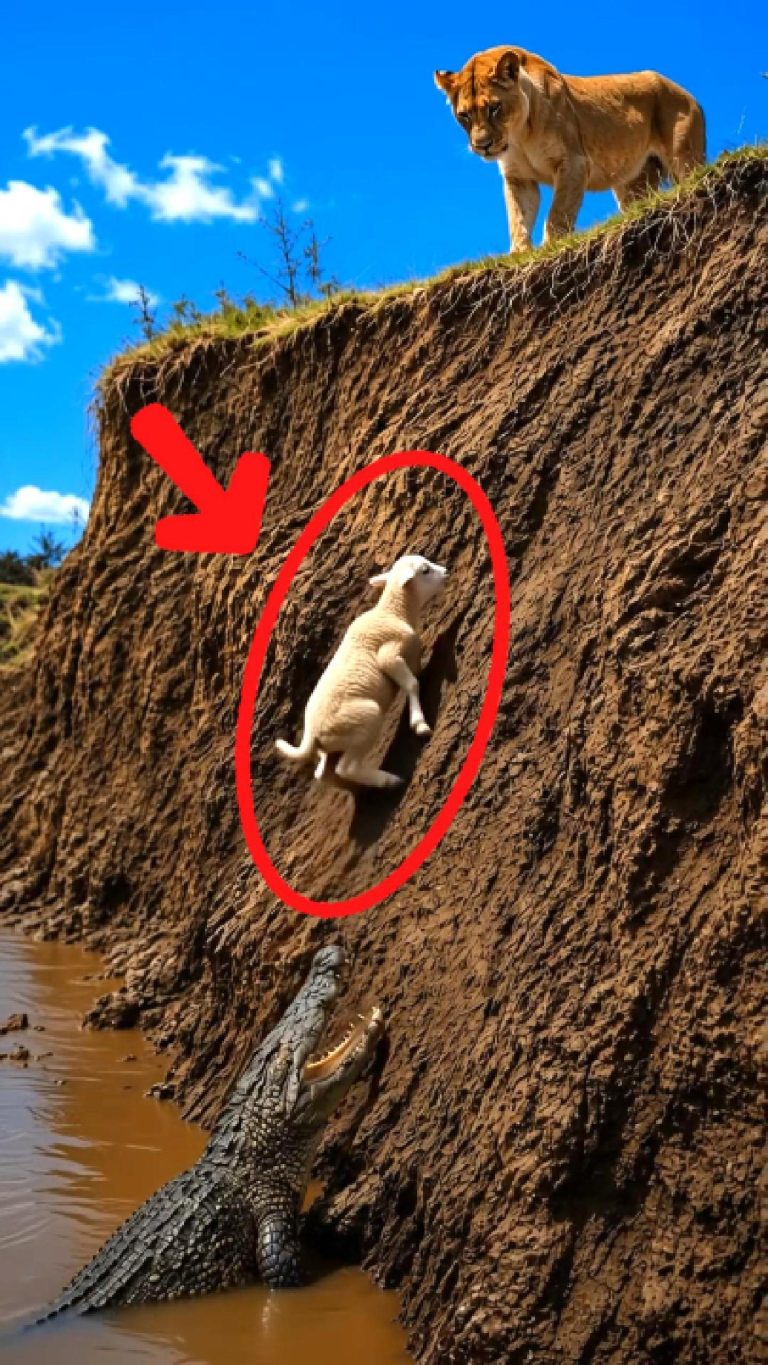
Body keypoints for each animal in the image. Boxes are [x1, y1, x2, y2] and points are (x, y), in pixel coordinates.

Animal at [435, 47, 705, 252]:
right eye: (464, 115)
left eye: (494, 107)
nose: (483, 146)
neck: (519, 135)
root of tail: (687, 93)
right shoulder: (518, 178)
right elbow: (518, 219)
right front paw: (519, 255)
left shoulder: (574, 163)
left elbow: (558, 213)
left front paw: (549, 248)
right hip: (633, 182)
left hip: (684, 159)